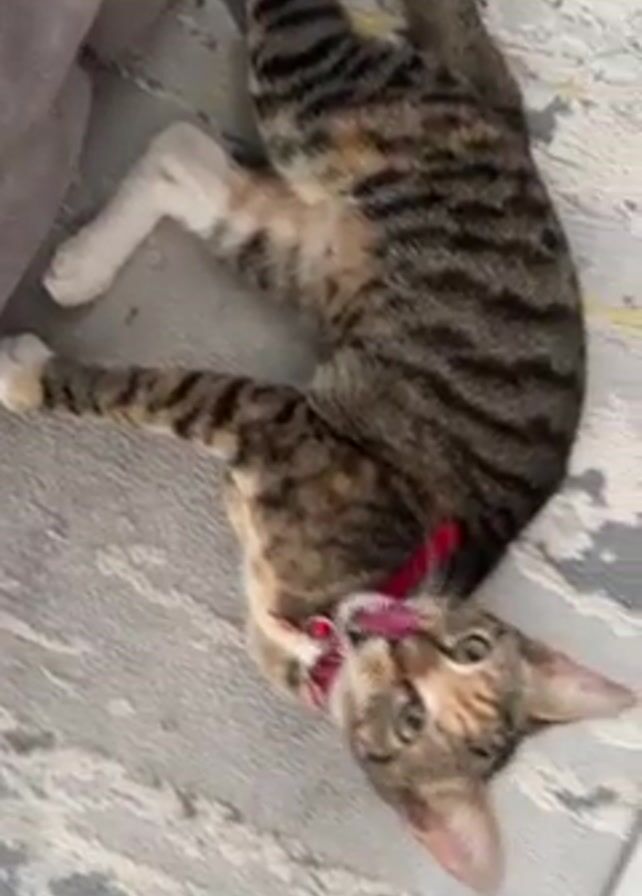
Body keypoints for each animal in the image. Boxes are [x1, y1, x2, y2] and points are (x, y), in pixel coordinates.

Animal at [0, 0, 635, 891]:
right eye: (468, 644)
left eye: (410, 721)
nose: (393, 637)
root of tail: (505, 129)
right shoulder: (283, 422)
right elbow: (143, 390)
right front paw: (25, 378)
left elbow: (152, 387)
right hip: (319, 97)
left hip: (301, 232)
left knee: (184, 157)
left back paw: (82, 265)